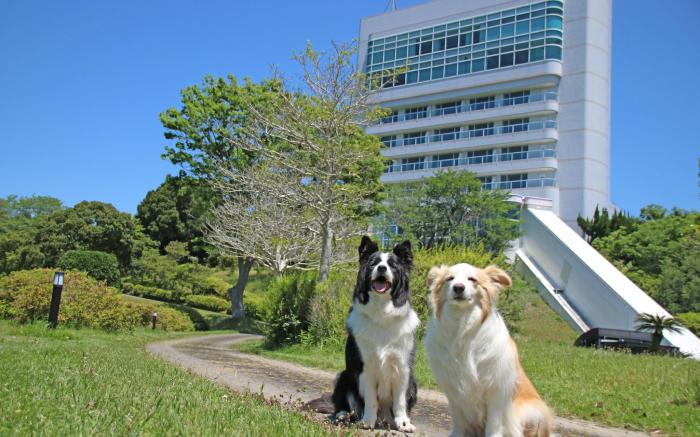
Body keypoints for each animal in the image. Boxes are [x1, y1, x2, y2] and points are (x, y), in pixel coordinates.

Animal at [330, 236, 419, 432]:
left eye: (392, 265)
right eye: (373, 264)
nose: (382, 268)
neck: (382, 313)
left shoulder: (403, 368)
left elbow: (400, 401)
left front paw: (403, 423)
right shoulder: (365, 367)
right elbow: (370, 400)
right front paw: (367, 422)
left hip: (414, 382)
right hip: (344, 376)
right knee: (345, 404)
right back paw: (343, 416)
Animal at [425, 263, 552, 437]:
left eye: (472, 279)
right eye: (449, 278)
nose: (458, 287)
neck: (462, 325)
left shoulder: (496, 390)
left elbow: (493, 423)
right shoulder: (452, 389)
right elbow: (458, 418)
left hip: (533, 411)